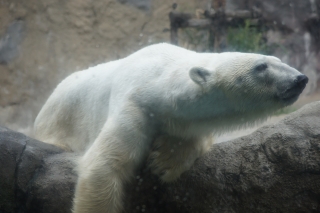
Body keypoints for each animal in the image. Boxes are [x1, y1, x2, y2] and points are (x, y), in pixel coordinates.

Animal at [34, 43, 308, 213]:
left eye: (278, 60)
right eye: (261, 66)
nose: (300, 79)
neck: (160, 78)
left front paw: (165, 160)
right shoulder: (134, 104)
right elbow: (103, 165)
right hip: (59, 119)